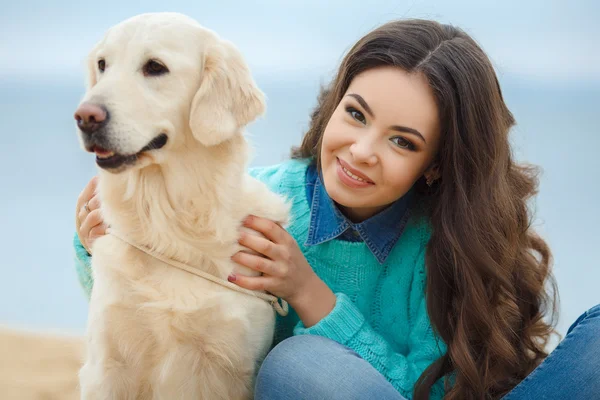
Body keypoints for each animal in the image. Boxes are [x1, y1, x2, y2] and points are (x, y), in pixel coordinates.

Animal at [74, 12, 290, 400]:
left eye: (155, 67)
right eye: (102, 64)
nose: (85, 116)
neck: (169, 222)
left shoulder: (235, 368)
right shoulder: (107, 365)